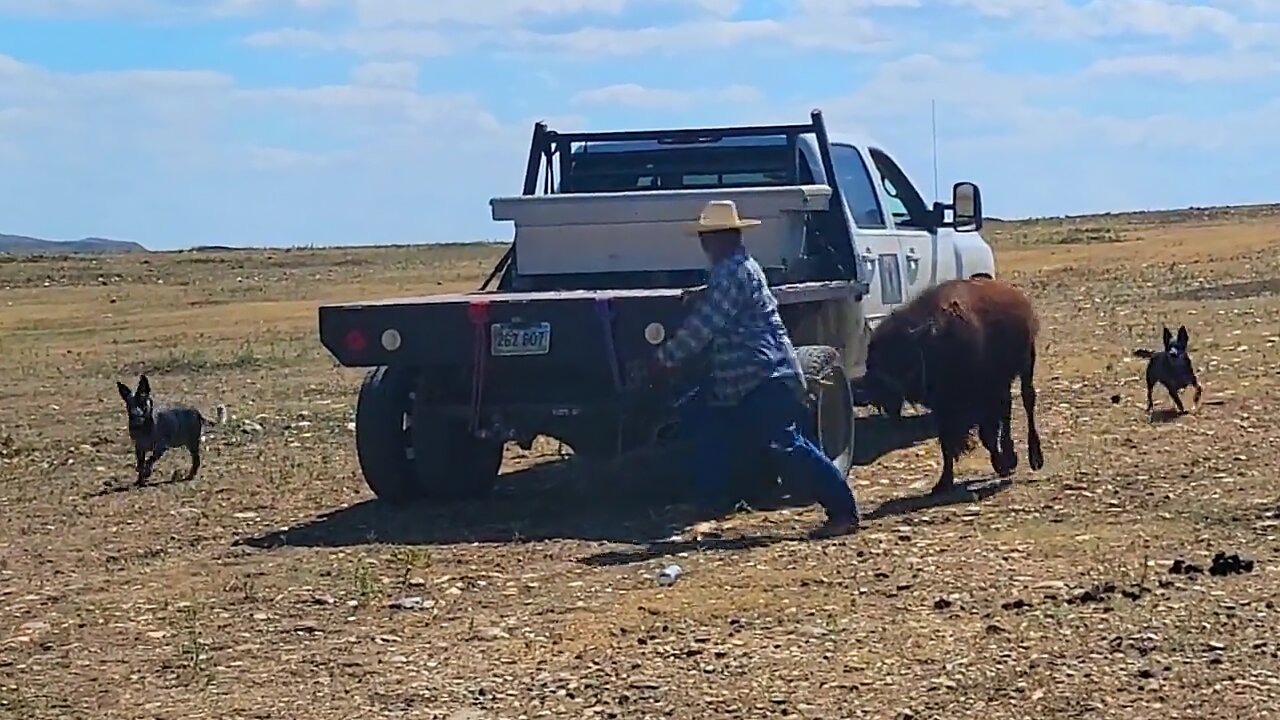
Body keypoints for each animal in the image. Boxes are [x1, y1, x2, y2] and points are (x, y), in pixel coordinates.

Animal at [860, 275, 1039, 491]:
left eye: (898, 357)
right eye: (871, 359)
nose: (873, 391)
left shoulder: (983, 399)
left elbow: (986, 435)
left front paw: (1003, 464)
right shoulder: (945, 410)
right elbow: (948, 443)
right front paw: (943, 482)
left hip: (1026, 364)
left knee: (1027, 401)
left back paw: (1034, 458)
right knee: (1007, 412)